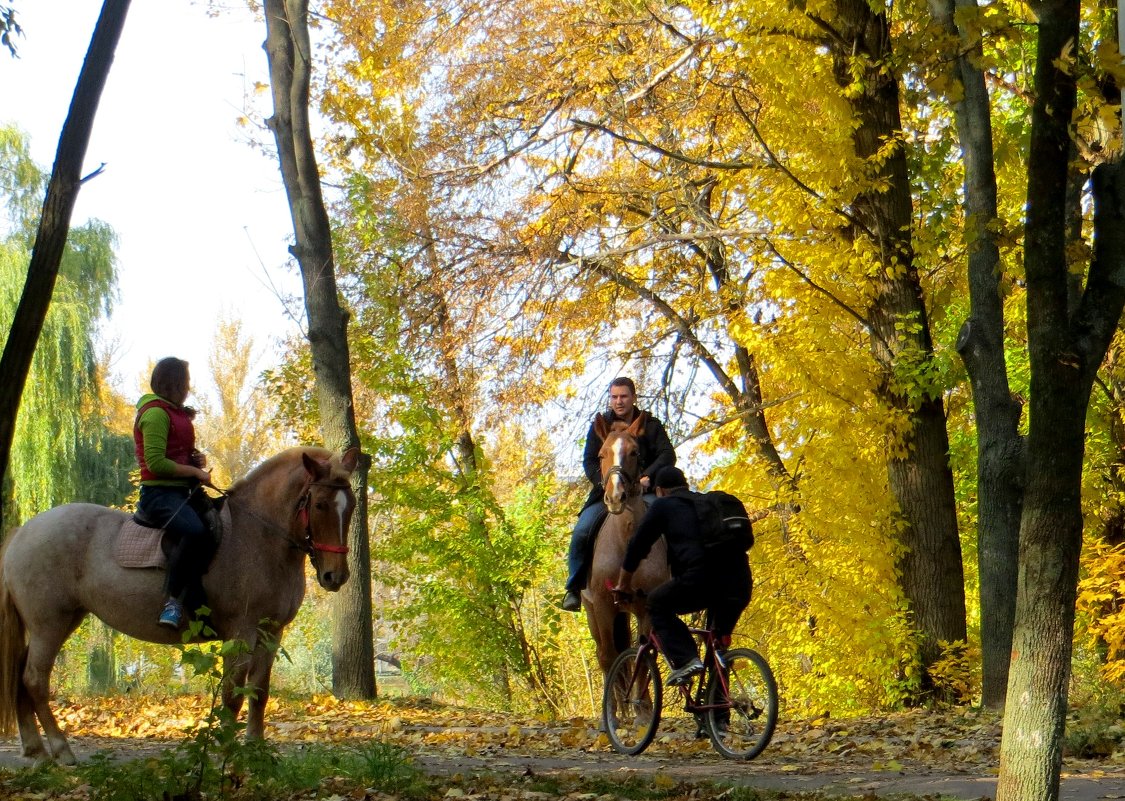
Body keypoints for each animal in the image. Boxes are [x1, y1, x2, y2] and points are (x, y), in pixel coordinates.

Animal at [0, 443, 357, 765]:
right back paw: (61, 750)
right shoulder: (240, 633)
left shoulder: (271, 633)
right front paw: (226, 753)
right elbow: (232, 696)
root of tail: (22, 532)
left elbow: (259, 692)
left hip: (60, 621)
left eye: (351, 505)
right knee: (34, 679)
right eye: (320, 505)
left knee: (20, 676)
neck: (257, 536)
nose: (335, 576)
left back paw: (36, 751)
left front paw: (255, 750)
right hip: (49, 624)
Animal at [580, 414, 666, 684]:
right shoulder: (603, 605)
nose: (616, 497)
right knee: (606, 656)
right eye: (601, 454)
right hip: (592, 611)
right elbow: (610, 659)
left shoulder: (645, 610)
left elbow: (642, 663)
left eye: (634, 452)